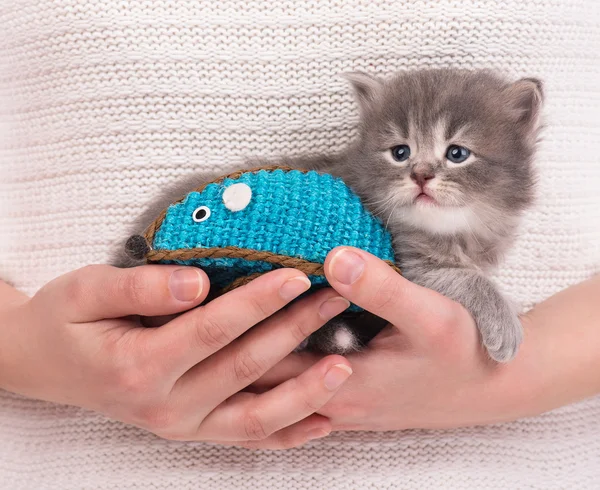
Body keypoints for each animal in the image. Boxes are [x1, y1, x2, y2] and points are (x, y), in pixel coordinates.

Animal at [115, 68, 540, 364]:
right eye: (400, 152)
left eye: (457, 154)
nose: (420, 175)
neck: (455, 228)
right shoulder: (406, 265)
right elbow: (464, 278)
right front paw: (505, 322)